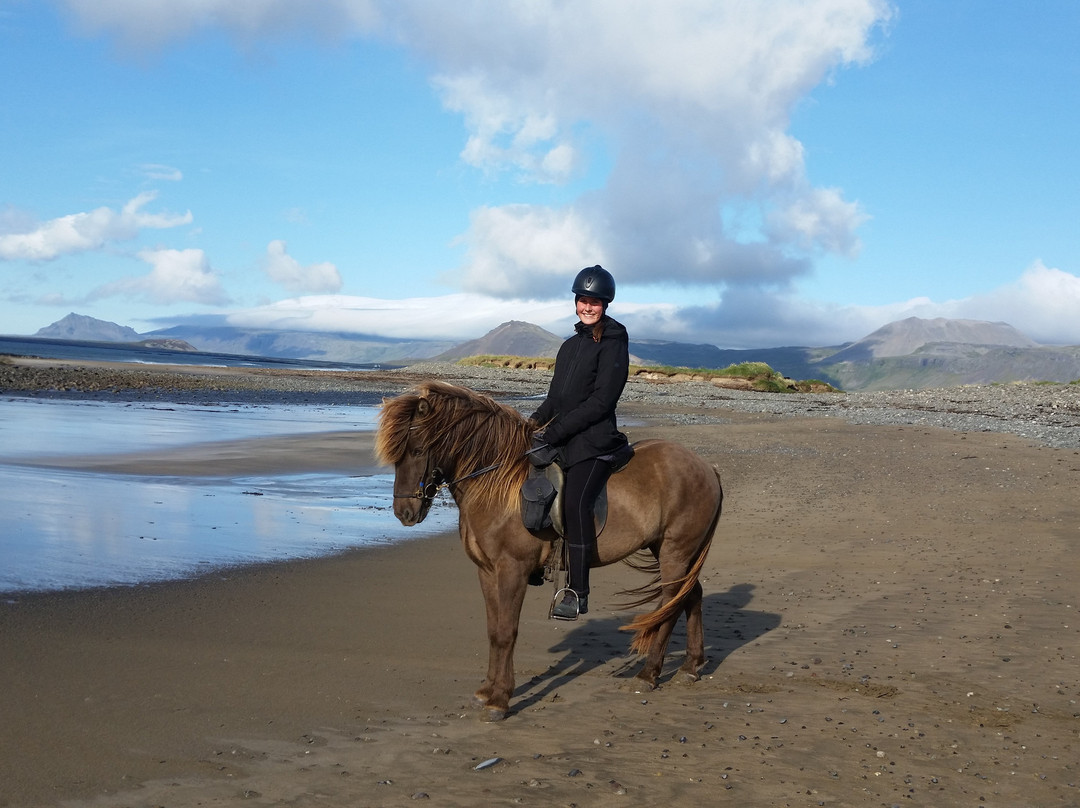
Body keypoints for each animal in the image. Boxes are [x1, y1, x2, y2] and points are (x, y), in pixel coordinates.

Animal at [374, 380, 723, 721]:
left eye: (417, 450)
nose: (404, 513)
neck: (496, 484)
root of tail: (707, 467)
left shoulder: (512, 569)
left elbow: (506, 631)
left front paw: (500, 700)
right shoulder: (487, 571)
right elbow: (493, 630)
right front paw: (486, 691)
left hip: (675, 553)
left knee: (672, 604)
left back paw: (648, 675)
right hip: (669, 550)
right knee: (692, 595)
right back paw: (690, 667)